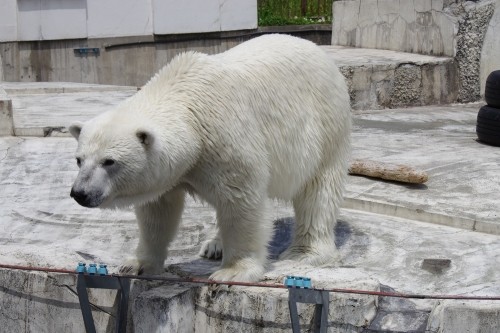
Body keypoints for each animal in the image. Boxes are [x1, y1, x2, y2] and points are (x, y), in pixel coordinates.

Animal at [69, 35, 352, 282]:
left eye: (109, 161)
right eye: (79, 159)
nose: (79, 193)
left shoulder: (226, 139)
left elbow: (241, 201)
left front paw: (233, 272)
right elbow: (158, 213)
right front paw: (137, 264)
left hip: (326, 126)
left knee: (318, 190)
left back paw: (304, 252)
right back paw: (214, 245)